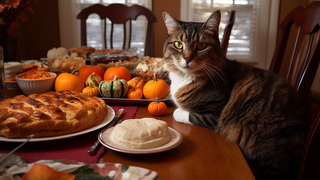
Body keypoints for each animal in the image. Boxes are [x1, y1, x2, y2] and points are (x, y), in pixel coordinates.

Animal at [162, 10, 308, 179]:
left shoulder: (213, 114)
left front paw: (178, 111)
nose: (187, 58)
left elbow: (180, 113)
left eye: (201, 46)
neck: (184, 78)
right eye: (178, 45)